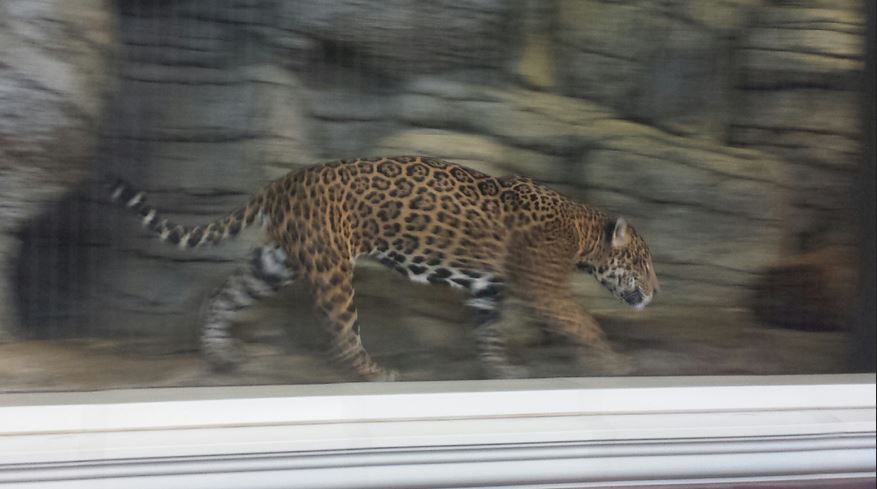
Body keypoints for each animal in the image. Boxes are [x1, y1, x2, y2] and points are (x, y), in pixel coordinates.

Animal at [108, 156, 659, 381]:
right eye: (643, 262)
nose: (657, 291)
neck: (582, 229)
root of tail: (282, 181)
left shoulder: (488, 289)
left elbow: (489, 333)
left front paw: (502, 370)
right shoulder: (544, 288)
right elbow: (583, 324)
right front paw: (616, 364)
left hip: (278, 260)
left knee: (224, 295)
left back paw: (219, 352)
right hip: (330, 263)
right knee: (340, 329)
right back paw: (377, 373)